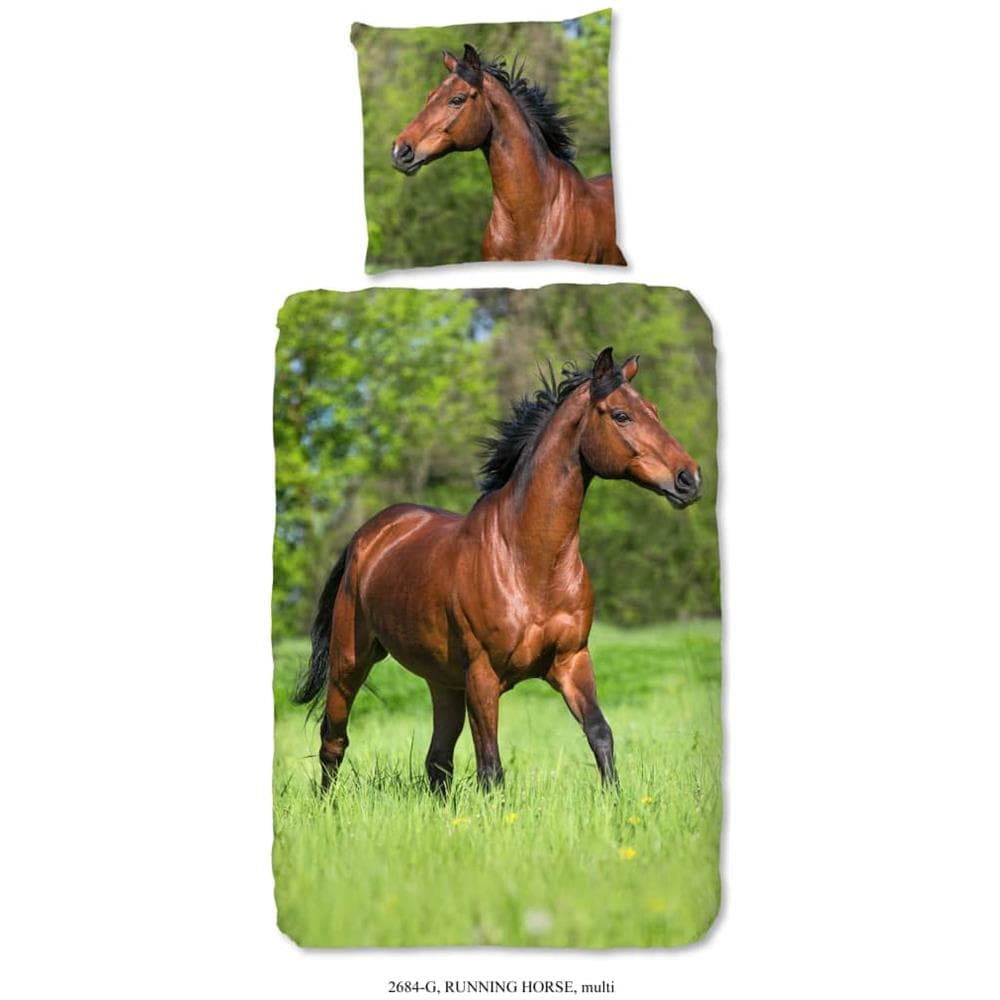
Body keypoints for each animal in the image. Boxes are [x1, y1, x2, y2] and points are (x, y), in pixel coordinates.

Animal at [294, 348, 702, 793]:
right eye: (621, 415)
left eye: (654, 410)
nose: (689, 479)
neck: (528, 563)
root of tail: (368, 536)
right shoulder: (483, 676)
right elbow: (491, 768)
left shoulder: (572, 662)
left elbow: (600, 734)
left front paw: (615, 800)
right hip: (350, 662)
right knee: (334, 741)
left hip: (443, 681)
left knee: (437, 760)